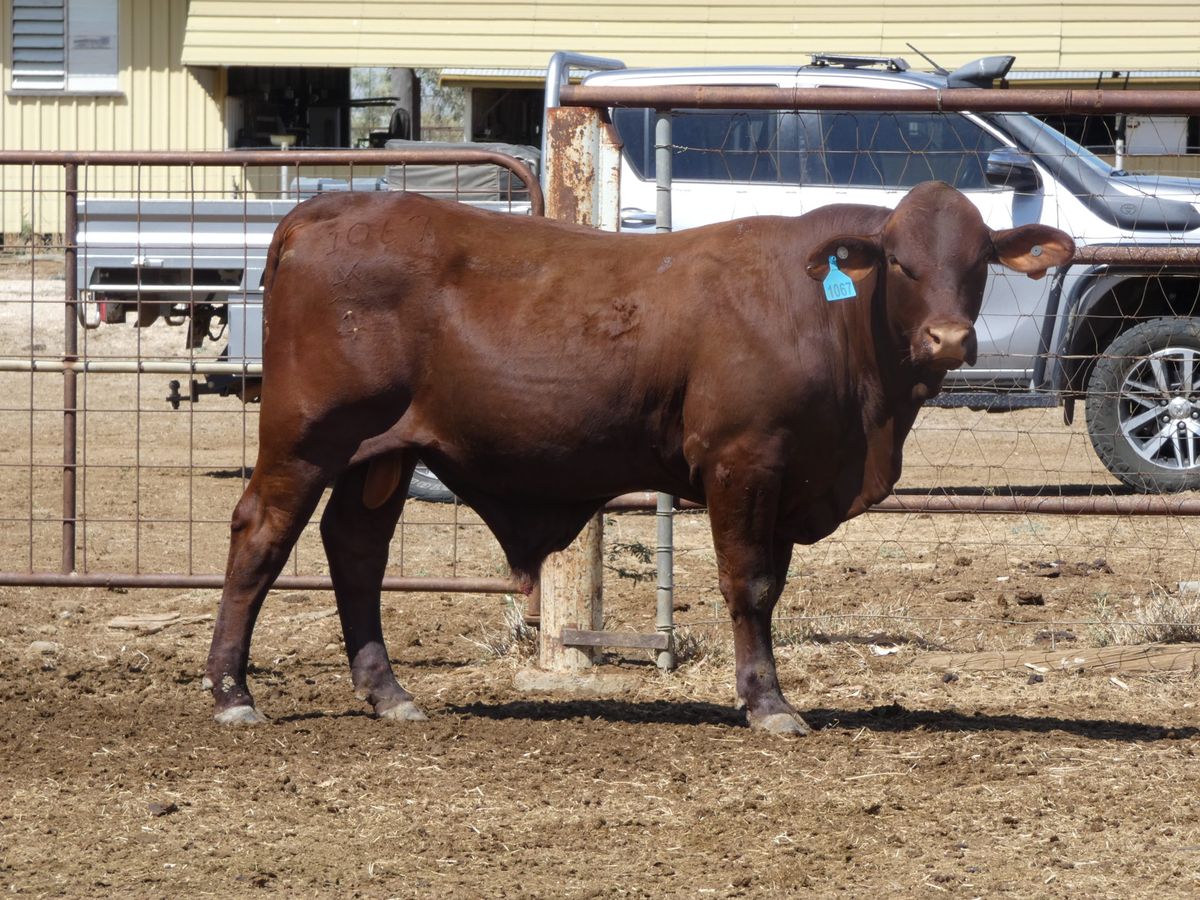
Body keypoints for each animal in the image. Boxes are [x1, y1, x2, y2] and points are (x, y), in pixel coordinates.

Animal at [204, 181, 1074, 735]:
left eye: (979, 260)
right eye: (900, 260)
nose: (948, 338)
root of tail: (325, 209)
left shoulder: (792, 478)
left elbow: (772, 588)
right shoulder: (743, 461)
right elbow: (750, 587)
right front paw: (767, 705)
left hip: (377, 453)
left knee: (355, 551)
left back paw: (387, 692)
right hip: (307, 437)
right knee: (260, 536)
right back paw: (231, 691)